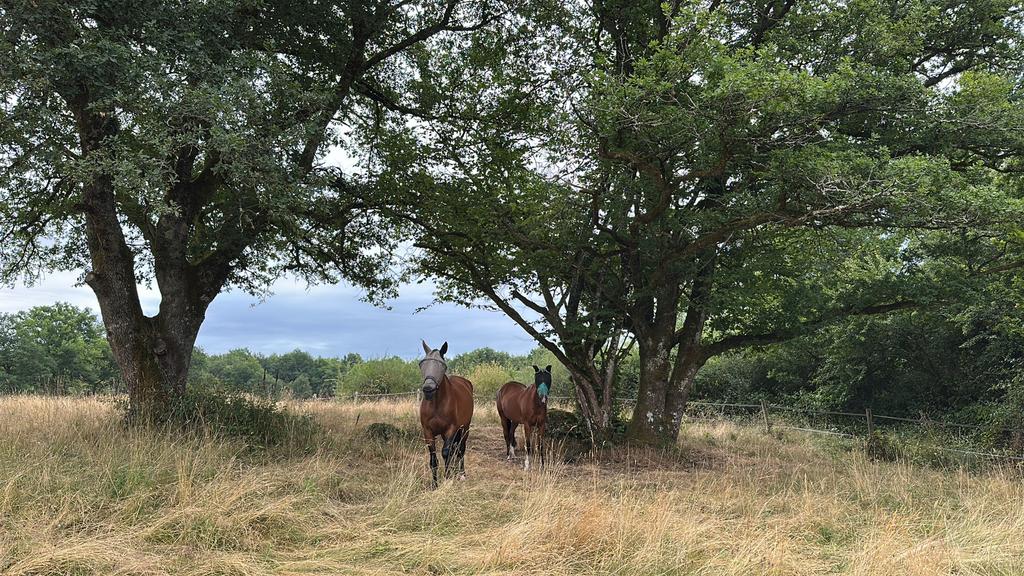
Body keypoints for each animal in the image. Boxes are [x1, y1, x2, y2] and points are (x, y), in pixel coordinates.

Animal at [418, 340, 474, 487]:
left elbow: (446, 453)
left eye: (442, 365)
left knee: (461, 449)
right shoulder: (428, 432)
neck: (437, 405)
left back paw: (461, 474)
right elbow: (433, 459)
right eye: (422, 364)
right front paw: (435, 484)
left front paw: (447, 478)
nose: (428, 389)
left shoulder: (451, 429)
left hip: (465, 429)